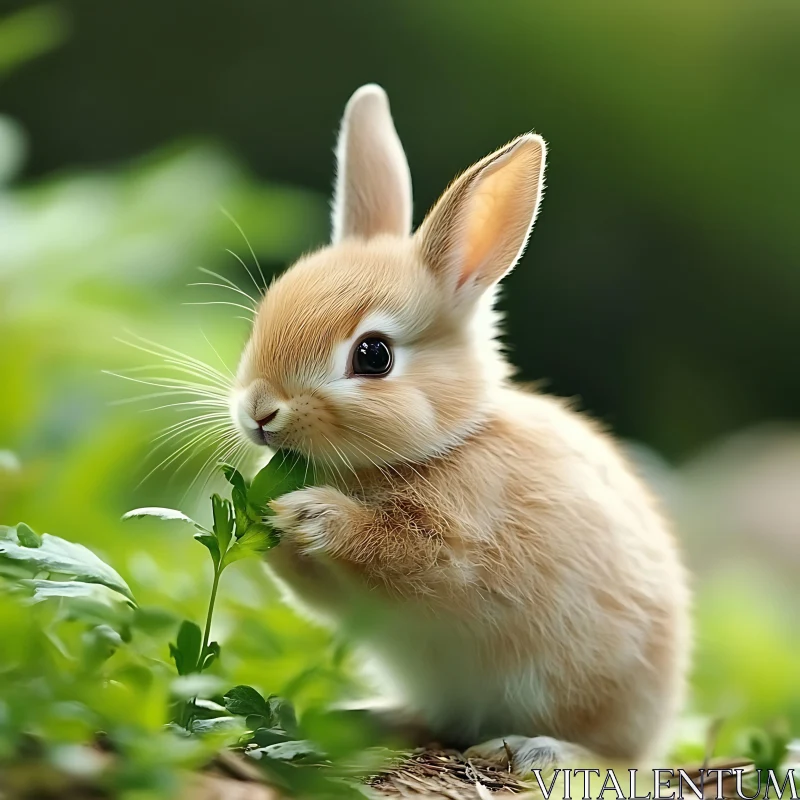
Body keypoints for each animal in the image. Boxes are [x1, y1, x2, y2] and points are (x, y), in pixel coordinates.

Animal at [228, 84, 692, 772]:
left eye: (373, 356)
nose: (260, 411)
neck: (451, 440)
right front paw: (272, 517)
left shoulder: (456, 539)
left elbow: (404, 552)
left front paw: (309, 514)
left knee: (620, 758)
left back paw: (537, 750)